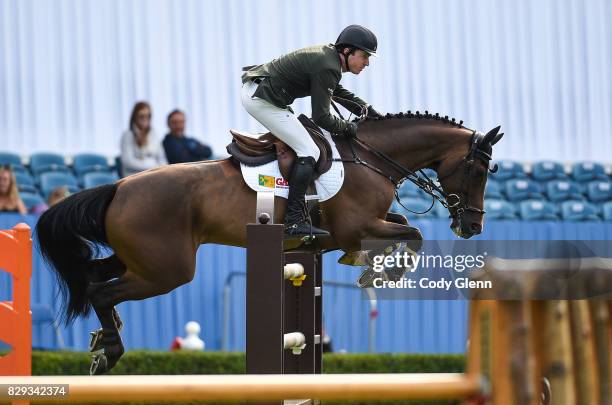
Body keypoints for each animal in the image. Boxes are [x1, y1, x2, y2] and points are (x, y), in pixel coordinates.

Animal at [35, 111, 502, 372]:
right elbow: (414, 233)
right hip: (166, 271)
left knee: (93, 276)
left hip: (143, 261)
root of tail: (117, 186)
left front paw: (369, 265)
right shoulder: (355, 226)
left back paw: (104, 338)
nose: (472, 227)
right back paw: (110, 350)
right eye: (478, 171)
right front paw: (379, 273)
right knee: (100, 290)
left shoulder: (367, 224)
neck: (370, 157)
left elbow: (403, 223)